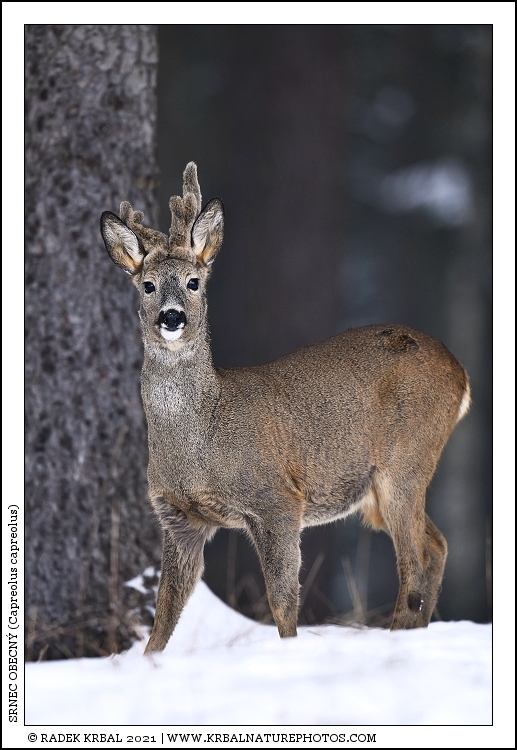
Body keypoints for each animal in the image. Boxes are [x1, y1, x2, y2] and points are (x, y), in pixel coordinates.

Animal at [100, 162, 471, 654]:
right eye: (148, 285)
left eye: (194, 282)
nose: (172, 316)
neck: (201, 441)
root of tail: (460, 373)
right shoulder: (178, 516)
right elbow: (165, 613)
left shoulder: (276, 499)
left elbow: (282, 600)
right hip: (380, 489)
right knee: (437, 546)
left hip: (406, 460)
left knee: (414, 563)